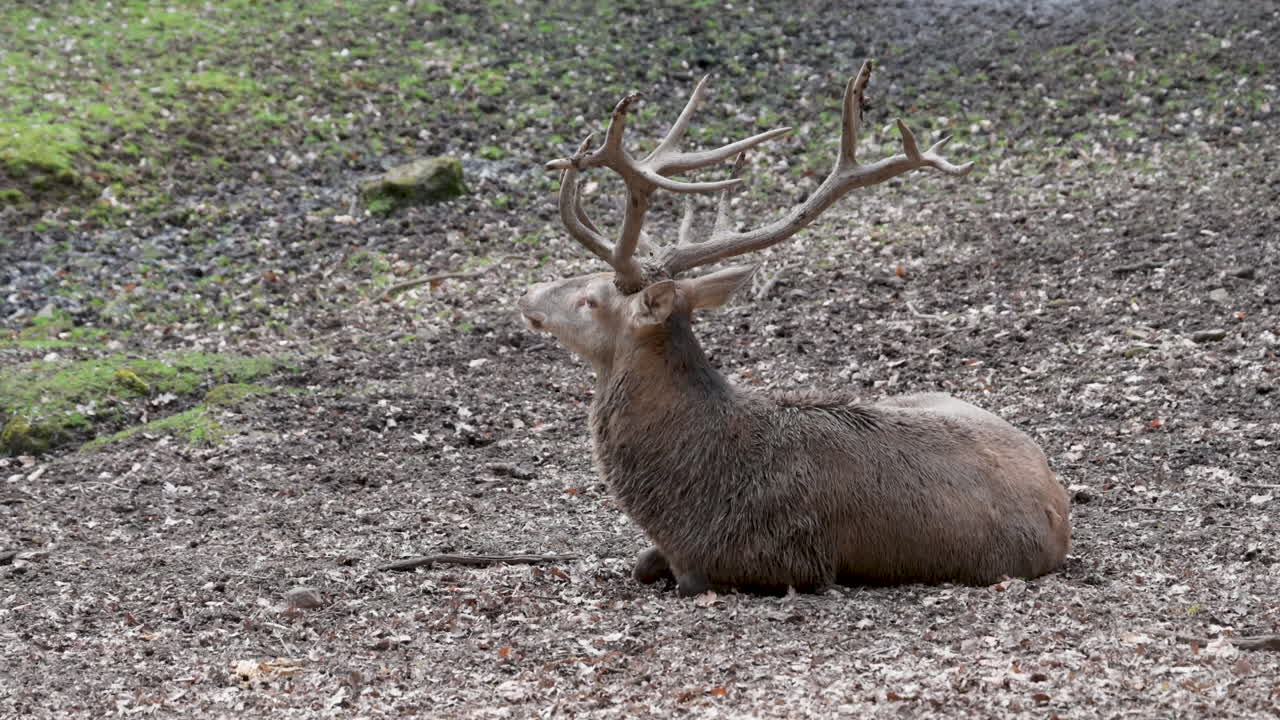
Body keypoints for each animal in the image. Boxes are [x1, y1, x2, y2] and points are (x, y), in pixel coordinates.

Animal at [519, 61, 1070, 596]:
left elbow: (676, 575)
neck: (686, 500)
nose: (528, 294)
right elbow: (641, 562)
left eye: (590, 299)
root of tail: (1058, 498)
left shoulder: (781, 558)